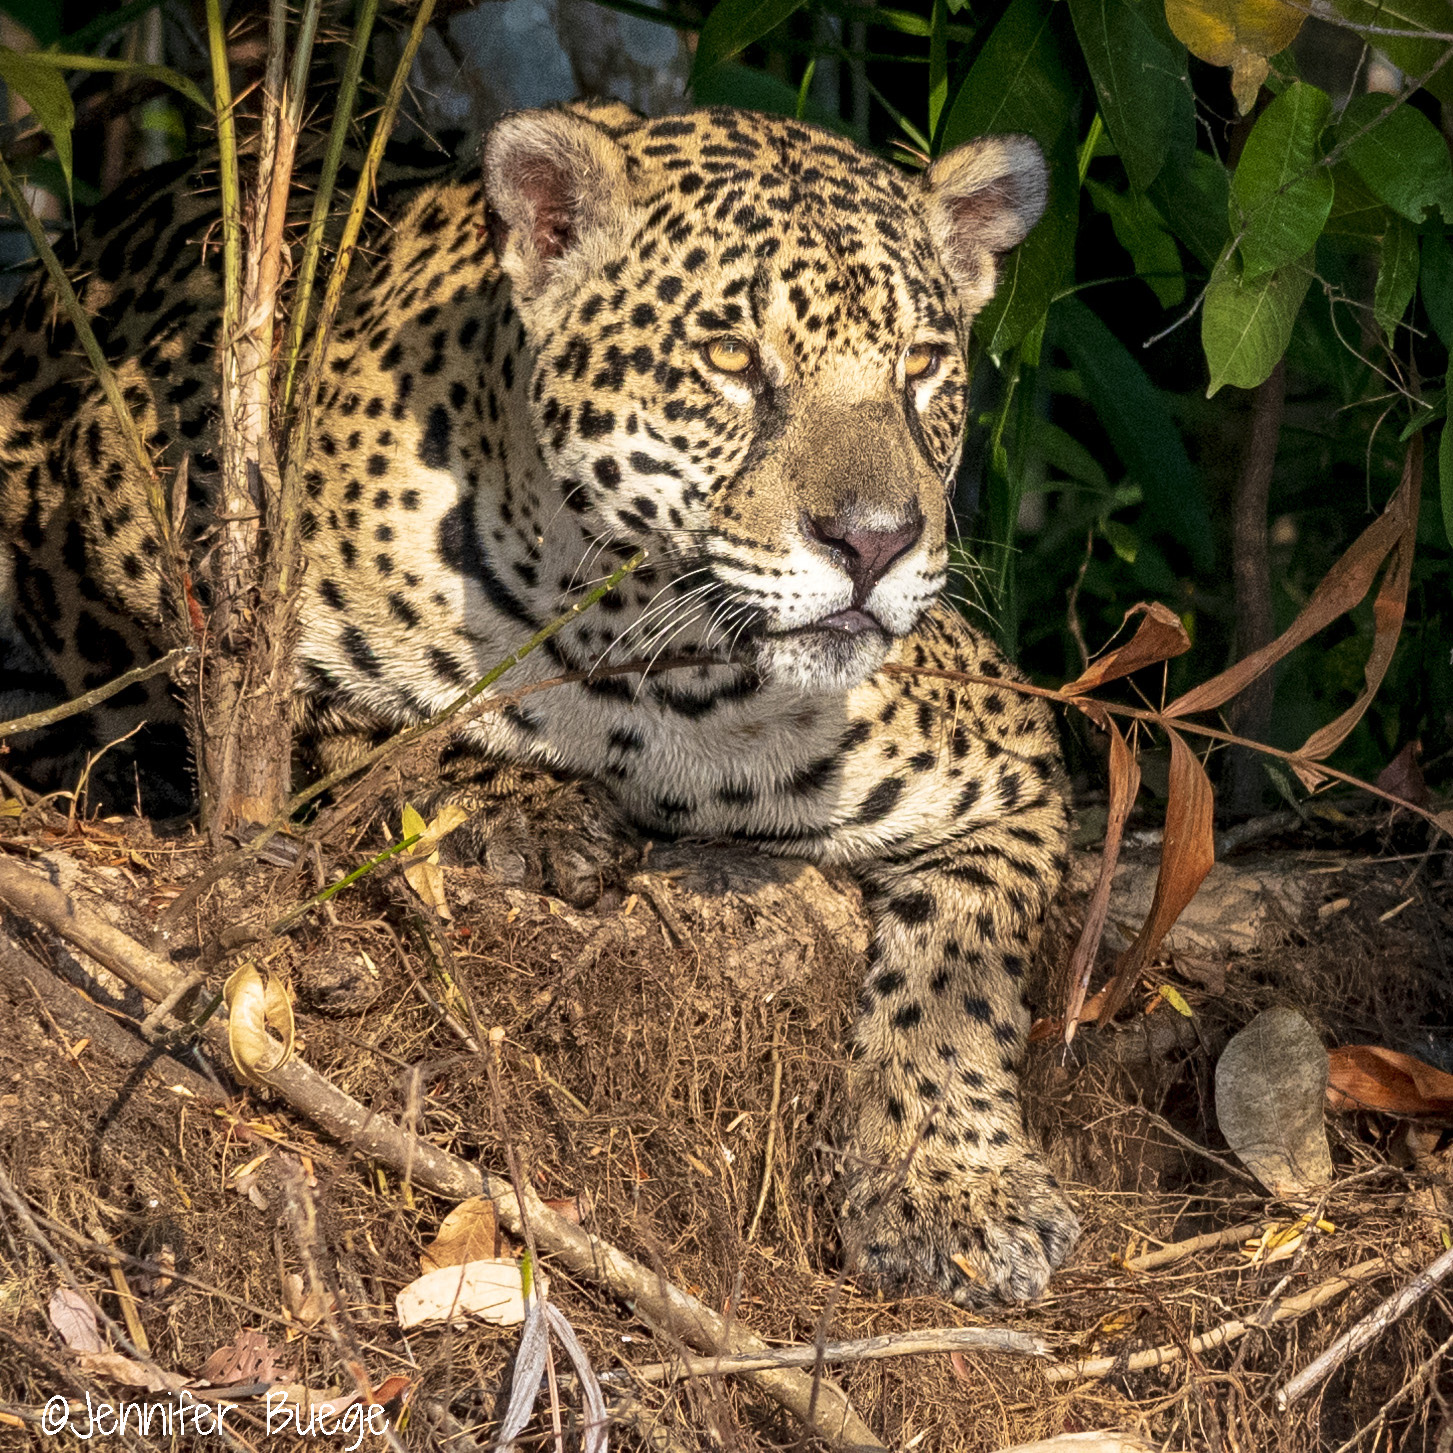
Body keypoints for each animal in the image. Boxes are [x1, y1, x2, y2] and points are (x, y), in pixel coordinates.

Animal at [0, 99, 1078, 1304]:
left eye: (923, 365)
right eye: (730, 358)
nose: (877, 541)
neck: (648, 655)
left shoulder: (1010, 752)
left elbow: (961, 968)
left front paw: (954, 1186)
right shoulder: (139, 496)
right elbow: (337, 714)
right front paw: (522, 802)